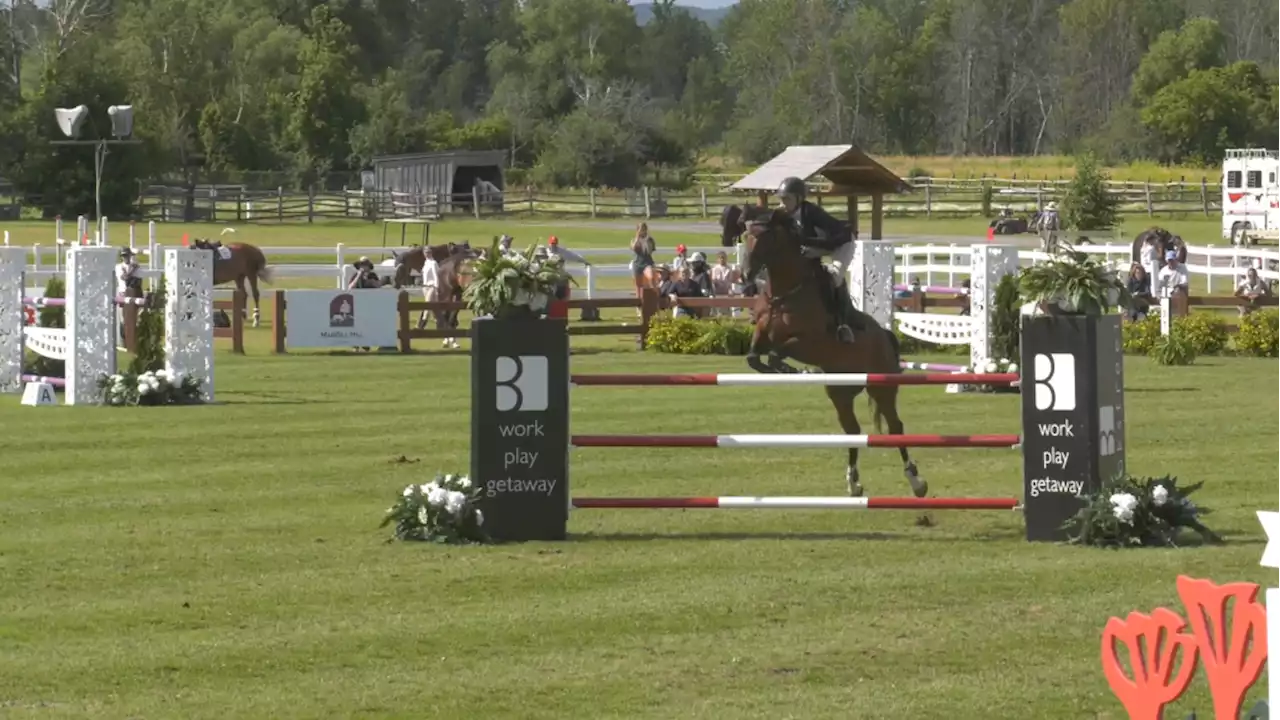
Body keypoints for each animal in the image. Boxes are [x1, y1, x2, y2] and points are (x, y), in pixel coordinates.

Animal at [742, 207, 931, 499]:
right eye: (745, 236)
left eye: (765, 238)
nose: (746, 276)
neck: (784, 293)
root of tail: (885, 336)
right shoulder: (763, 333)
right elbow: (754, 357)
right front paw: (779, 369)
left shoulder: (808, 341)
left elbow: (777, 352)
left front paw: (788, 368)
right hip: (840, 392)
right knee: (852, 431)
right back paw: (853, 483)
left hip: (882, 387)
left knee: (895, 426)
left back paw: (916, 482)